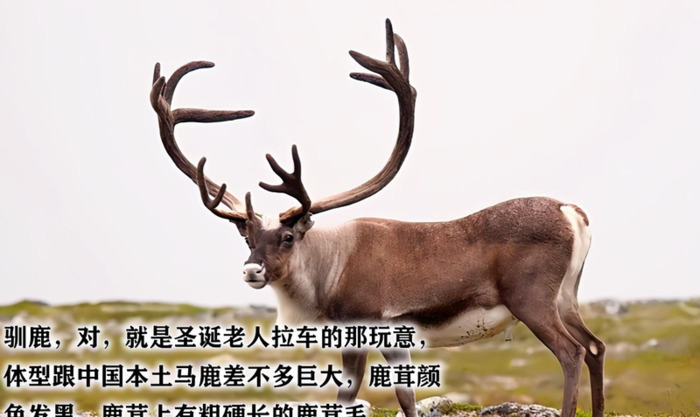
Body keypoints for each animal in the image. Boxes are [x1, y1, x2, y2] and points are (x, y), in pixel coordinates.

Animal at [150, 19, 605, 417]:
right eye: (247, 237)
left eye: (288, 237)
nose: (251, 270)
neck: (328, 271)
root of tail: (571, 212)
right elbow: (390, 397)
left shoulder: (370, 327)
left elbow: (366, 396)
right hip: (566, 297)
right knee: (596, 347)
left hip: (531, 299)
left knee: (572, 352)